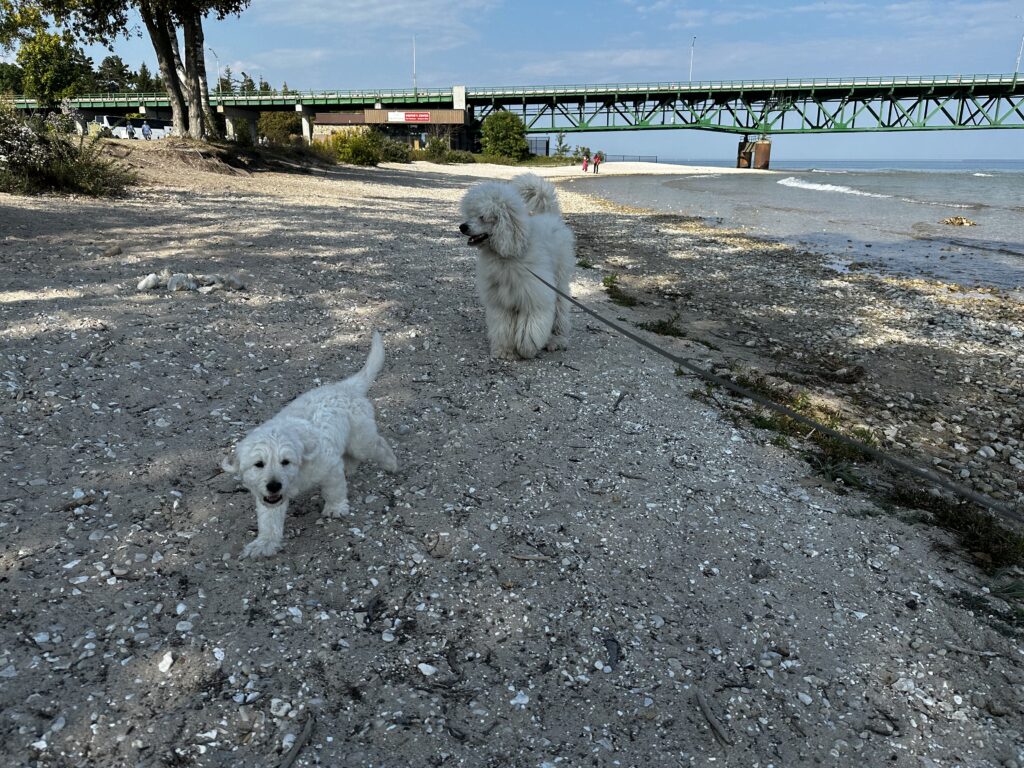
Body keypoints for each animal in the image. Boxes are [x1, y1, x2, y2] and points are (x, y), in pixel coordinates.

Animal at [222, 332, 398, 558]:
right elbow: (269, 520)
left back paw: (391, 463)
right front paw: (263, 543)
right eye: (259, 464)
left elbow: (334, 489)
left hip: (361, 439)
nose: (274, 485)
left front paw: (335, 507)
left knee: (378, 444)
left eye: (285, 461)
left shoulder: (328, 466)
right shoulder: (268, 498)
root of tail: (344, 386)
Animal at [459, 174, 575, 359]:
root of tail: (551, 217)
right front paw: (504, 351)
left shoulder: (534, 298)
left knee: (560, 311)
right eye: (471, 214)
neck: (509, 254)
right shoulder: (501, 302)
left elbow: (530, 327)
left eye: (483, 216)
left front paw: (526, 348)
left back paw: (557, 340)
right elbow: (502, 327)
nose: (462, 227)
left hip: (560, 281)